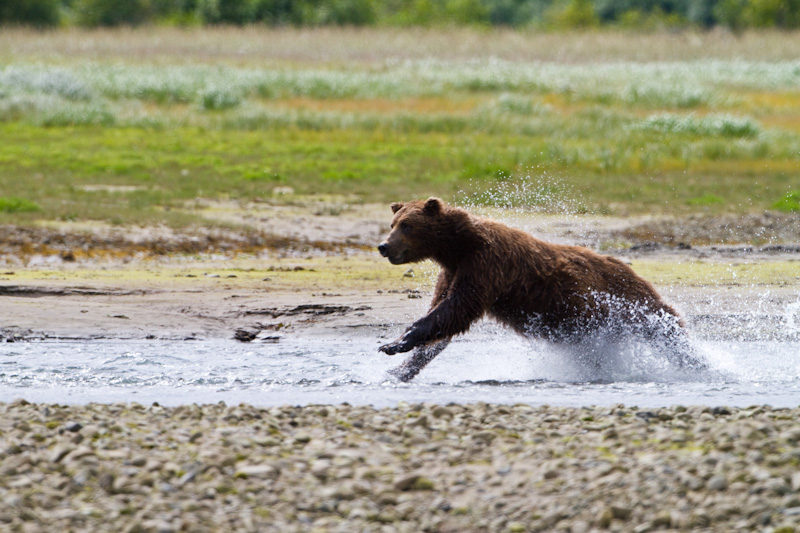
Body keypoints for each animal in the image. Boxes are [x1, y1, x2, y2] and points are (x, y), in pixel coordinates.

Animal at [378, 197, 696, 380]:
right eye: (393, 223)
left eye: (406, 225)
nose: (383, 246)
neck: (458, 247)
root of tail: (633, 270)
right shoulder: (454, 271)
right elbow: (444, 318)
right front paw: (398, 366)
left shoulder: (486, 264)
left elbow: (457, 308)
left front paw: (397, 342)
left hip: (628, 303)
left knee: (668, 331)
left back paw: (698, 362)